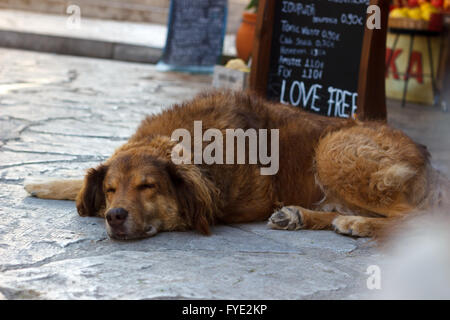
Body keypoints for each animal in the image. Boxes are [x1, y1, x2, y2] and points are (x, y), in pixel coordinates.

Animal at [25, 90, 450, 240]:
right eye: (111, 190)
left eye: (149, 186)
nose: (114, 215)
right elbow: (82, 181)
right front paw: (40, 182)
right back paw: (300, 216)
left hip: (334, 149)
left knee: (417, 217)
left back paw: (357, 223)